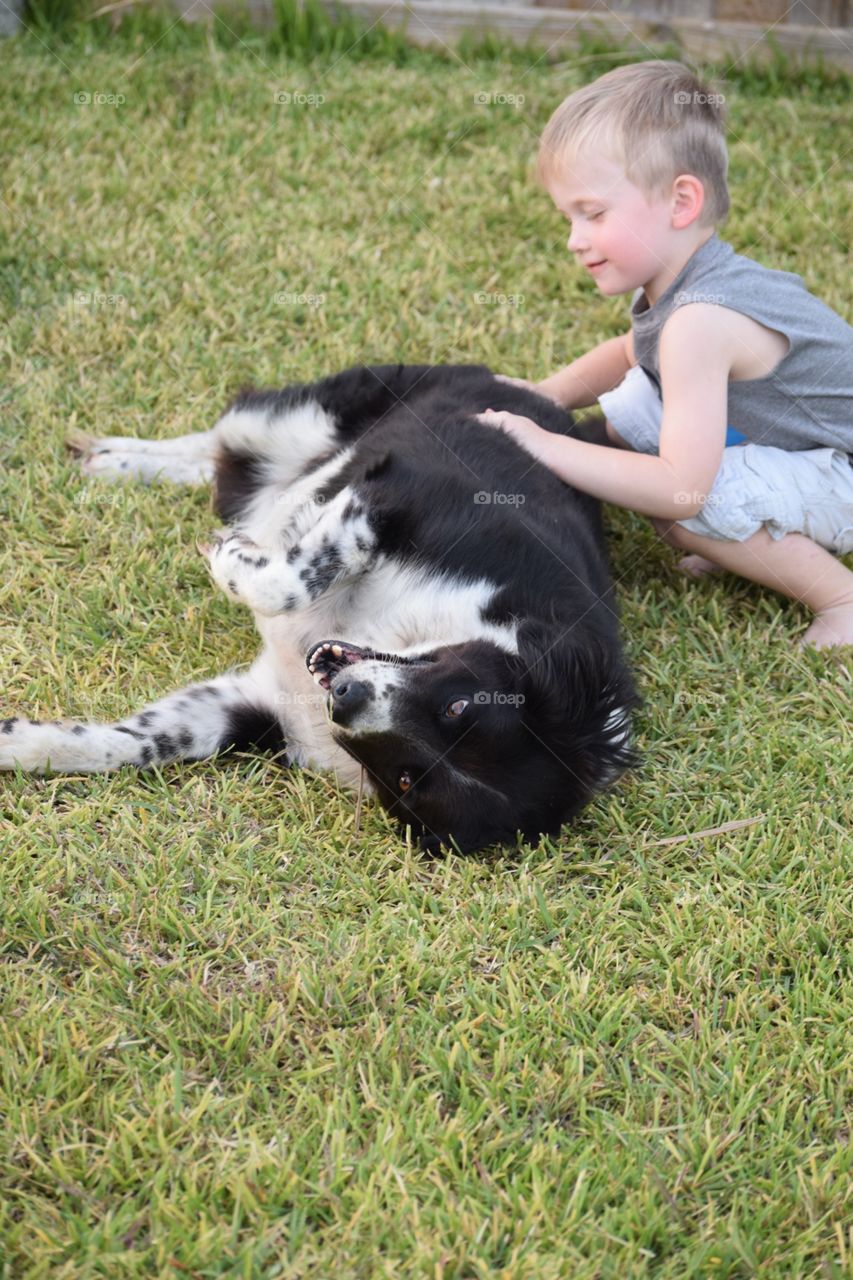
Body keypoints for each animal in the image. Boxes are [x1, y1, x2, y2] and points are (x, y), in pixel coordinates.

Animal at [1, 360, 637, 855]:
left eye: (407, 781)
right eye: (460, 706)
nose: (347, 697)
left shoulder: (254, 708)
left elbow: (134, 745)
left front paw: (18, 742)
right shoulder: (408, 489)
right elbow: (288, 580)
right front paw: (230, 557)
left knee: (222, 468)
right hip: (306, 417)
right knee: (227, 439)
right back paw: (113, 459)